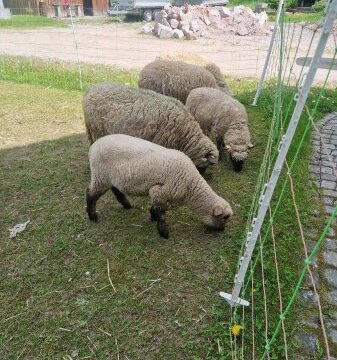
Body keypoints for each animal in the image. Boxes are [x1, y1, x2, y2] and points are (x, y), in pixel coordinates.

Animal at [85, 134, 232, 238]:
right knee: (90, 194)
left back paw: (126, 204)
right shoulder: (160, 190)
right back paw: (92, 216)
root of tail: (93, 146)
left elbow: (156, 208)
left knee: (115, 189)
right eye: (224, 218)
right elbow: (161, 212)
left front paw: (152, 216)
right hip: (100, 176)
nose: (222, 230)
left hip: (111, 177)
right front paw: (163, 232)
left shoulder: (159, 193)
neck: (190, 185)